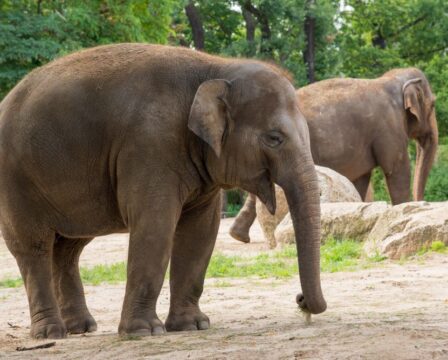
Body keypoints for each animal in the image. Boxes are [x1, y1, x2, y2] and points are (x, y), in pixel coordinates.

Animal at [0, 43, 326, 338]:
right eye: (274, 138)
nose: (301, 301)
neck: (216, 67)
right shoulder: (149, 145)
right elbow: (154, 226)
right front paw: (143, 332)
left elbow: (200, 232)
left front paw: (193, 326)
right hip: (15, 182)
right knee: (34, 247)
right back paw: (49, 334)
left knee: (68, 248)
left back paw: (81, 328)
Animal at [231, 67, 438, 242]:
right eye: (433, 105)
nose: (422, 202)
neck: (391, 79)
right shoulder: (390, 127)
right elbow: (397, 170)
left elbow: (361, 179)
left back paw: (238, 235)